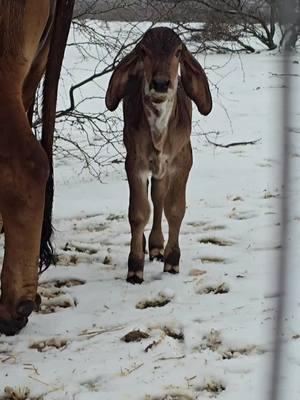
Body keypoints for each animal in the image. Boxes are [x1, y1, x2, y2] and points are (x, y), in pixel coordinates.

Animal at [106, 26, 212, 282]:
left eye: (178, 52)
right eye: (144, 51)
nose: (161, 83)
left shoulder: (182, 161)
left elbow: (174, 208)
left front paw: (172, 260)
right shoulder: (134, 162)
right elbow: (138, 212)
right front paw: (135, 266)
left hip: (162, 169)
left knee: (158, 197)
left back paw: (156, 246)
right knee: (151, 200)